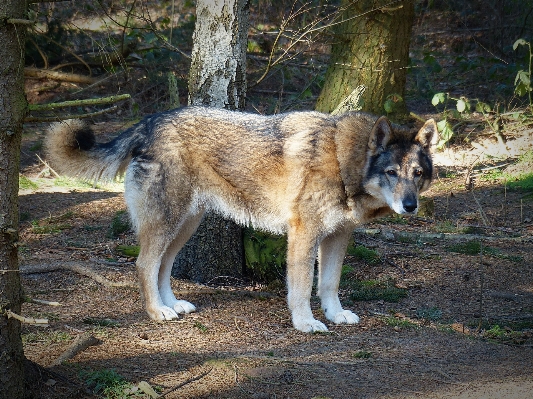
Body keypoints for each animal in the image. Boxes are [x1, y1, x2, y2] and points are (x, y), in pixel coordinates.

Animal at [45, 107, 436, 334]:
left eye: (417, 173)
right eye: (391, 172)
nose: (410, 206)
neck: (343, 160)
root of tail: (149, 122)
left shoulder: (338, 236)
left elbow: (329, 284)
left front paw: (335, 315)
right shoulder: (304, 234)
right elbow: (300, 289)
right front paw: (305, 323)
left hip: (186, 225)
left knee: (163, 267)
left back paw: (173, 305)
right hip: (168, 222)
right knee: (144, 264)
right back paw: (157, 312)